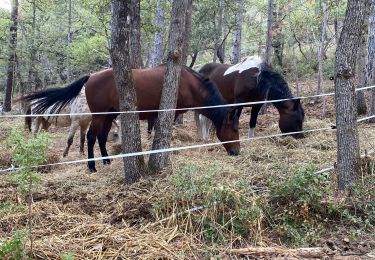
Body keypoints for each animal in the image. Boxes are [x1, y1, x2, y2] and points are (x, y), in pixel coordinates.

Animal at [21, 65, 241, 173]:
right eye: (235, 130)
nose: (236, 152)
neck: (189, 84)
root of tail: (91, 77)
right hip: (99, 115)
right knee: (91, 137)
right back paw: (92, 166)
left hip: (110, 115)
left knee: (101, 137)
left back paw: (107, 161)